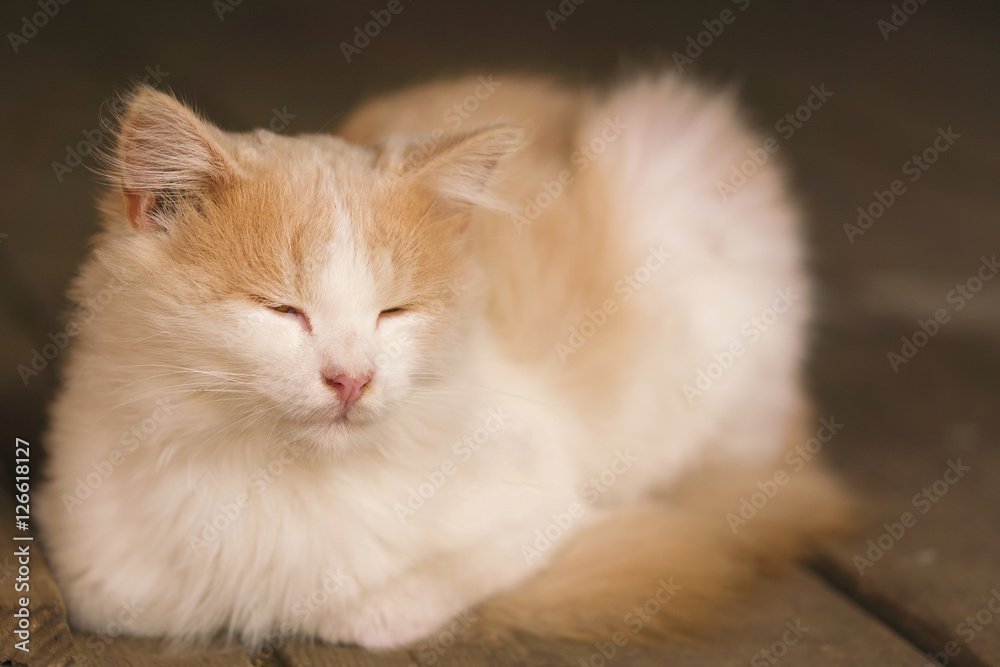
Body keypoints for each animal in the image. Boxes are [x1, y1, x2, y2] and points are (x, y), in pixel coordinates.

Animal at [35, 70, 848, 648]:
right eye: (282, 311)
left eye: (393, 313)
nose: (352, 379)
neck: (276, 474)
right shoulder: (89, 556)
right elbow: (119, 600)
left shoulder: (543, 503)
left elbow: (409, 594)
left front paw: (351, 608)